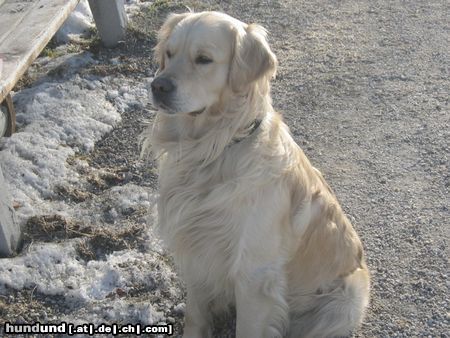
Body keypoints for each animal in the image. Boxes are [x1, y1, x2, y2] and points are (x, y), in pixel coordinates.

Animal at [143, 10, 370, 338]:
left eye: (203, 59)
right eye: (169, 53)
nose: (158, 86)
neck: (215, 147)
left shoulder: (254, 274)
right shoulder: (197, 251)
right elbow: (195, 315)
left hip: (348, 298)